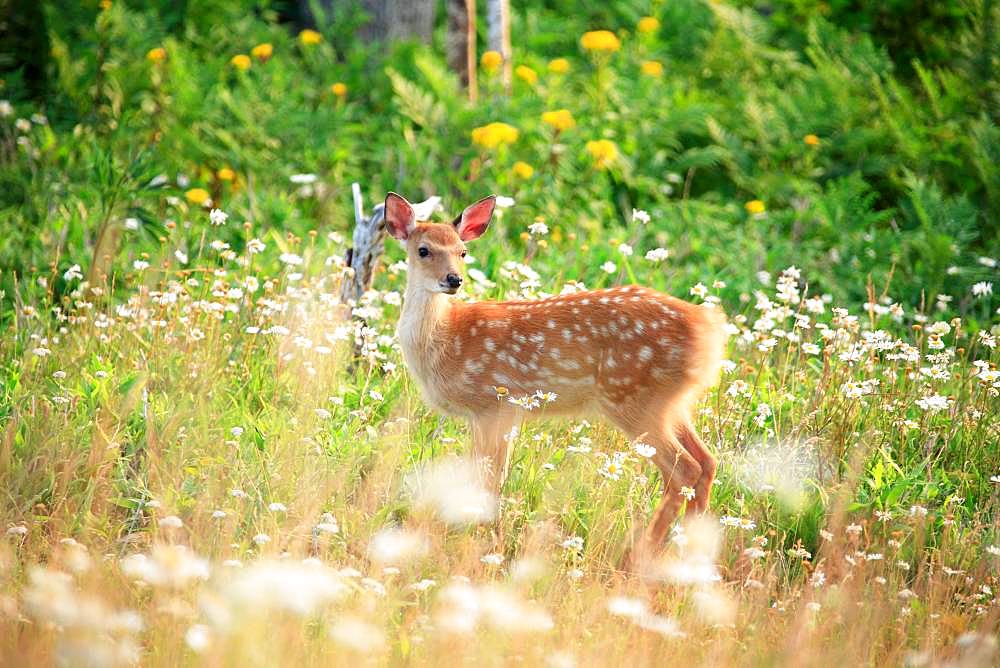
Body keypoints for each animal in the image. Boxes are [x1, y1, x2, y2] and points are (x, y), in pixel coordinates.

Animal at [386, 189, 732, 568]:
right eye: (423, 250)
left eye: (463, 251)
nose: (454, 279)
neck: (445, 339)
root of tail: (709, 331)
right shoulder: (487, 415)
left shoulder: (495, 403)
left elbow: (490, 480)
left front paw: (487, 544)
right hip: (672, 402)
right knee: (707, 462)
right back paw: (689, 554)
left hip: (632, 398)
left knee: (684, 469)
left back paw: (636, 556)